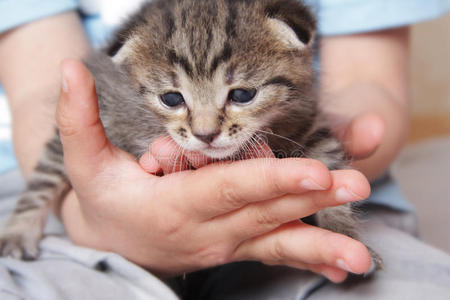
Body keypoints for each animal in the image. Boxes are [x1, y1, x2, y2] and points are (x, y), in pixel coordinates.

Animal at [0, 0, 382, 270]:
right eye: (172, 99)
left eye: (243, 95)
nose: (206, 134)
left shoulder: (308, 121)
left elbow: (331, 172)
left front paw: (344, 234)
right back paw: (18, 233)